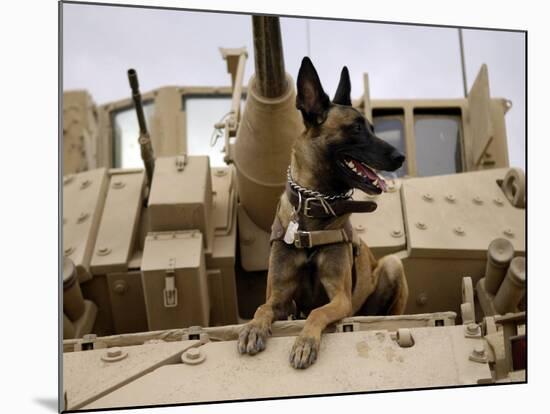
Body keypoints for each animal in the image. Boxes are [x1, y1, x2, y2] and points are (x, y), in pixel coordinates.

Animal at [237, 55, 410, 368]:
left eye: (372, 128)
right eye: (356, 128)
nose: (400, 157)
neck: (313, 208)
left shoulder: (340, 298)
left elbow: (318, 312)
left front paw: (305, 343)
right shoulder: (280, 298)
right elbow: (262, 308)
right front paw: (253, 329)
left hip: (392, 266)